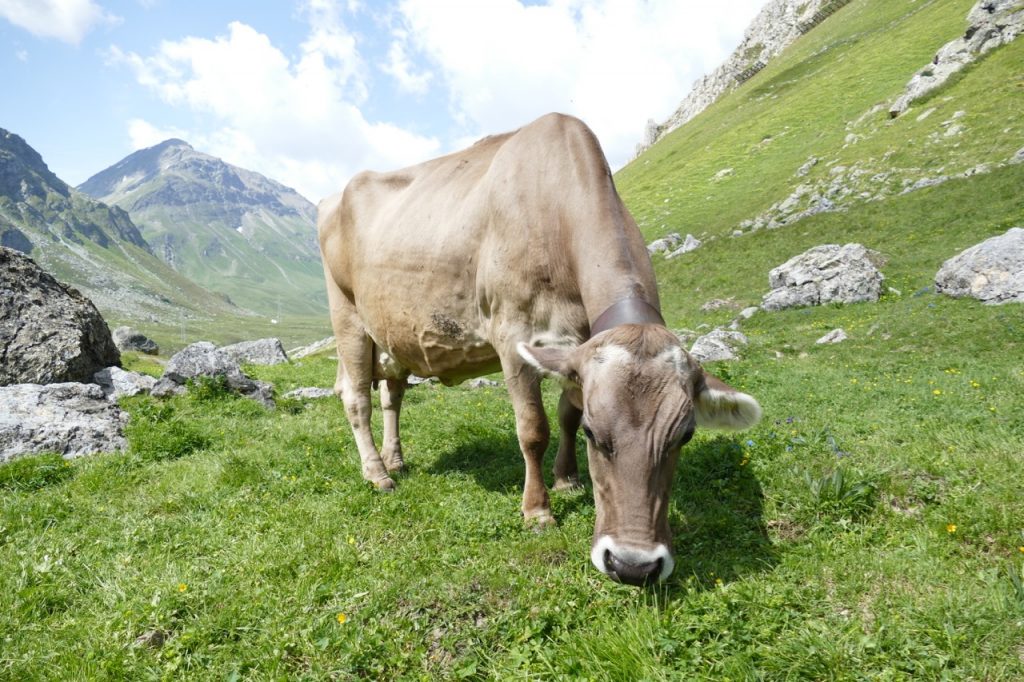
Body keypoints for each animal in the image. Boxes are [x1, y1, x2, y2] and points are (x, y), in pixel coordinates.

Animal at [319, 112, 761, 585]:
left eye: (686, 434)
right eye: (595, 435)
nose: (633, 565)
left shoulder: (577, 345)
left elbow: (566, 413)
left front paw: (567, 479)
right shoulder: (514, 337)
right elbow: (533, 429)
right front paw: (538, 510)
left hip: (392, 332)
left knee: (392, 395)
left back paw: (395, 458)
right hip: (347, 317)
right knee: (357, 399)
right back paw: (378, 473)